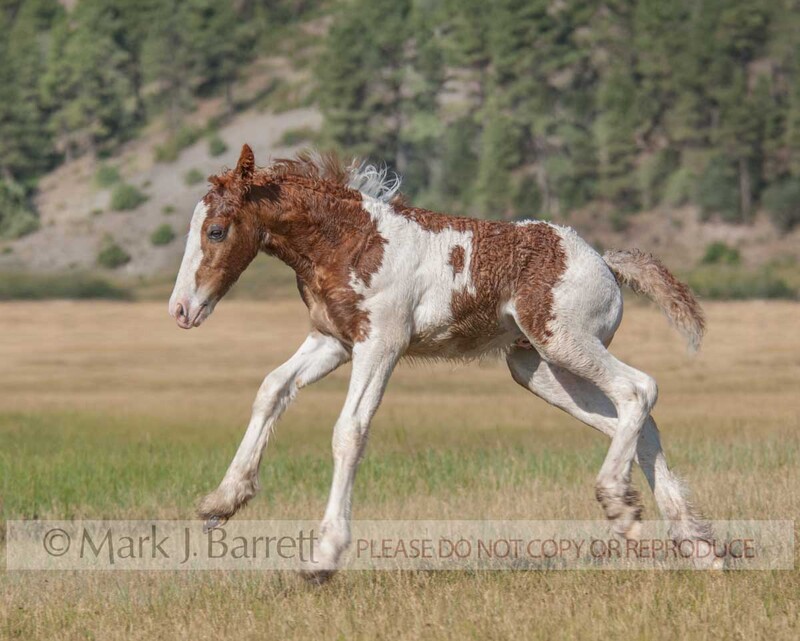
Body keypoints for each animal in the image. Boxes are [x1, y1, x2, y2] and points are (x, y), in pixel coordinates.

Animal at [169, 144, 714, 579]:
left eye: (216, 230)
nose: (180, 310)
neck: (351, 241)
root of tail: (605, 262)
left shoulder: (381, 343)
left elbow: (350, 431)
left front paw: (323, 557)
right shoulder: (333, 341)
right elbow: (272, 389)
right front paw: (221, 502)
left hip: (565, 342)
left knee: (639, 390)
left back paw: (619, 505)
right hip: (536, 368)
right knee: (631, 421)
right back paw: (696, 544)